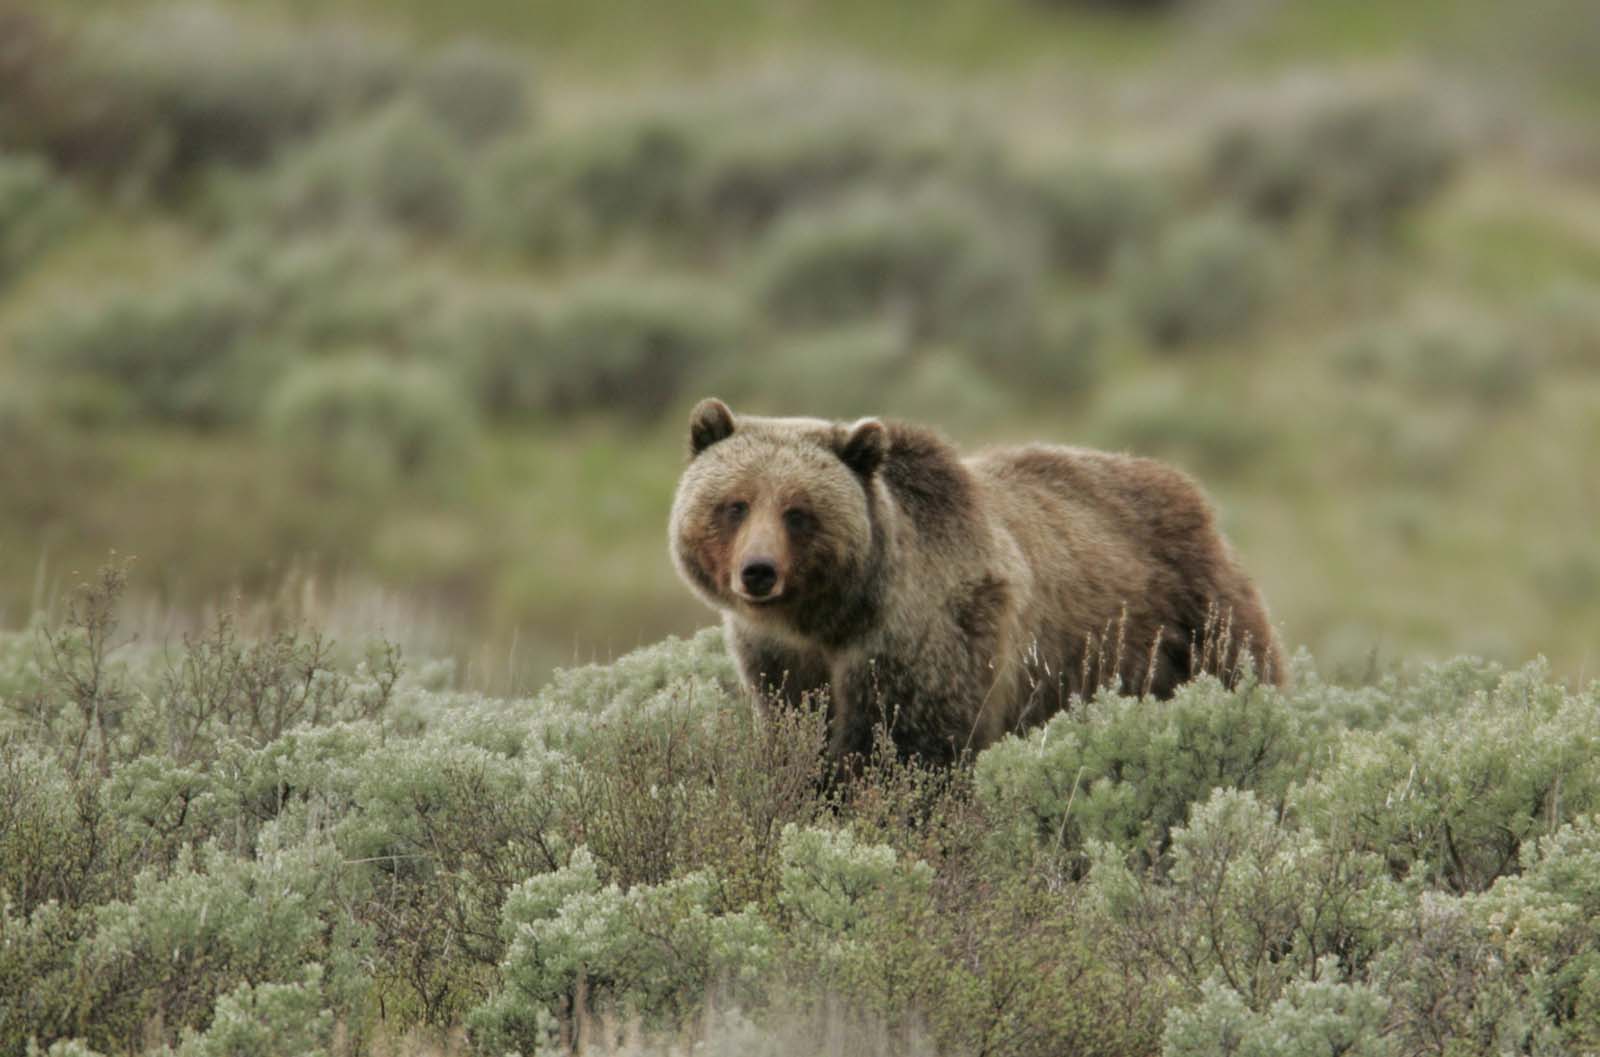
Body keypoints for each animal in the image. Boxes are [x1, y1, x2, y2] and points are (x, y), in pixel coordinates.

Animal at [668, 399, 1280, 761]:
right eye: (735, 504)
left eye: (798, 512)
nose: (758, 572)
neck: (833, 617)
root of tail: (1193, 495)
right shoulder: (781, 660)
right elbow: (799, 731)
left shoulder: (927, 638)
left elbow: (911, 748)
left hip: (1192, 625)